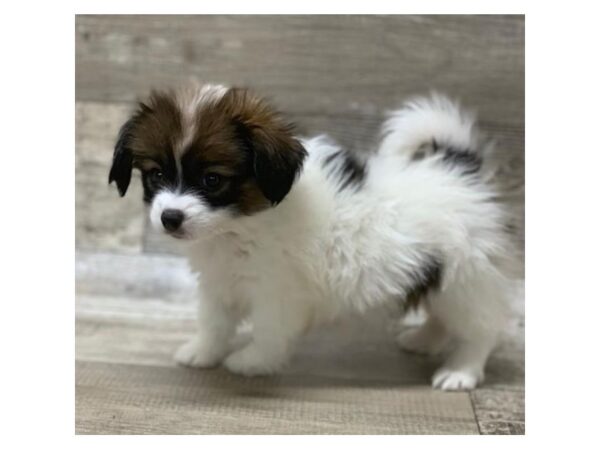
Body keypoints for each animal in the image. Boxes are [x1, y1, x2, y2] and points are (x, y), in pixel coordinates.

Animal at [109, 83, 520, 390]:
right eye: (156, 175)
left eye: (212, 180)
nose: (170, 218)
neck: (238, 226)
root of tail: (459, 169)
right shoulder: (219, 282)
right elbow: (214, 322)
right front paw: (202, 352)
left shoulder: (277, 292)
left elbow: (269, 330)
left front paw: (252, 361)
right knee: (440, 312)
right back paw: (424, 340)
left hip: (466, 277)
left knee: (480, 328)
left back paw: (461, 371)